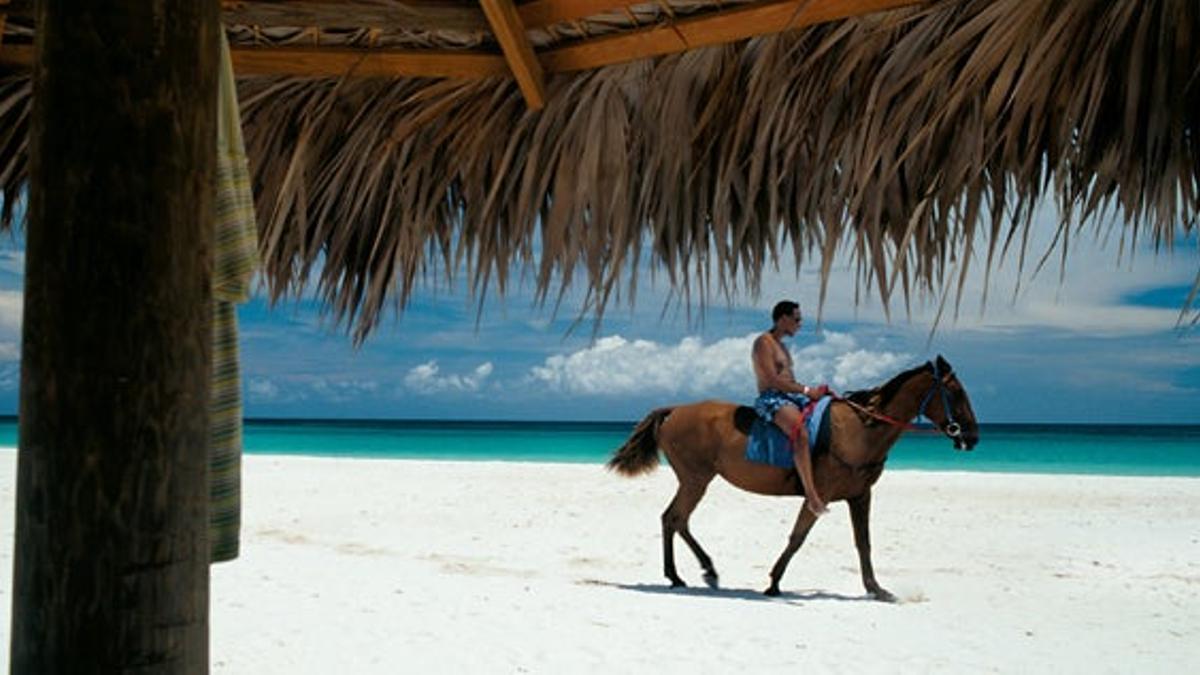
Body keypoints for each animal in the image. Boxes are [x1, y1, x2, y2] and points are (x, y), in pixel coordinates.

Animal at [604, 355, 979, 595]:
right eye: (956, 392)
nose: (973, 437)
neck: (859, 429)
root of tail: (674, 411)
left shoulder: (860, 496)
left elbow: (864, 542)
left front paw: (875, 588)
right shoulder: (820, 496)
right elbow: (797, 538)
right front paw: (773, 583)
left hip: (696, 480)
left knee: (675, 519)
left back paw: (698, 571)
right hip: (696, 480)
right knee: (673, 518)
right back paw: (681, 575)